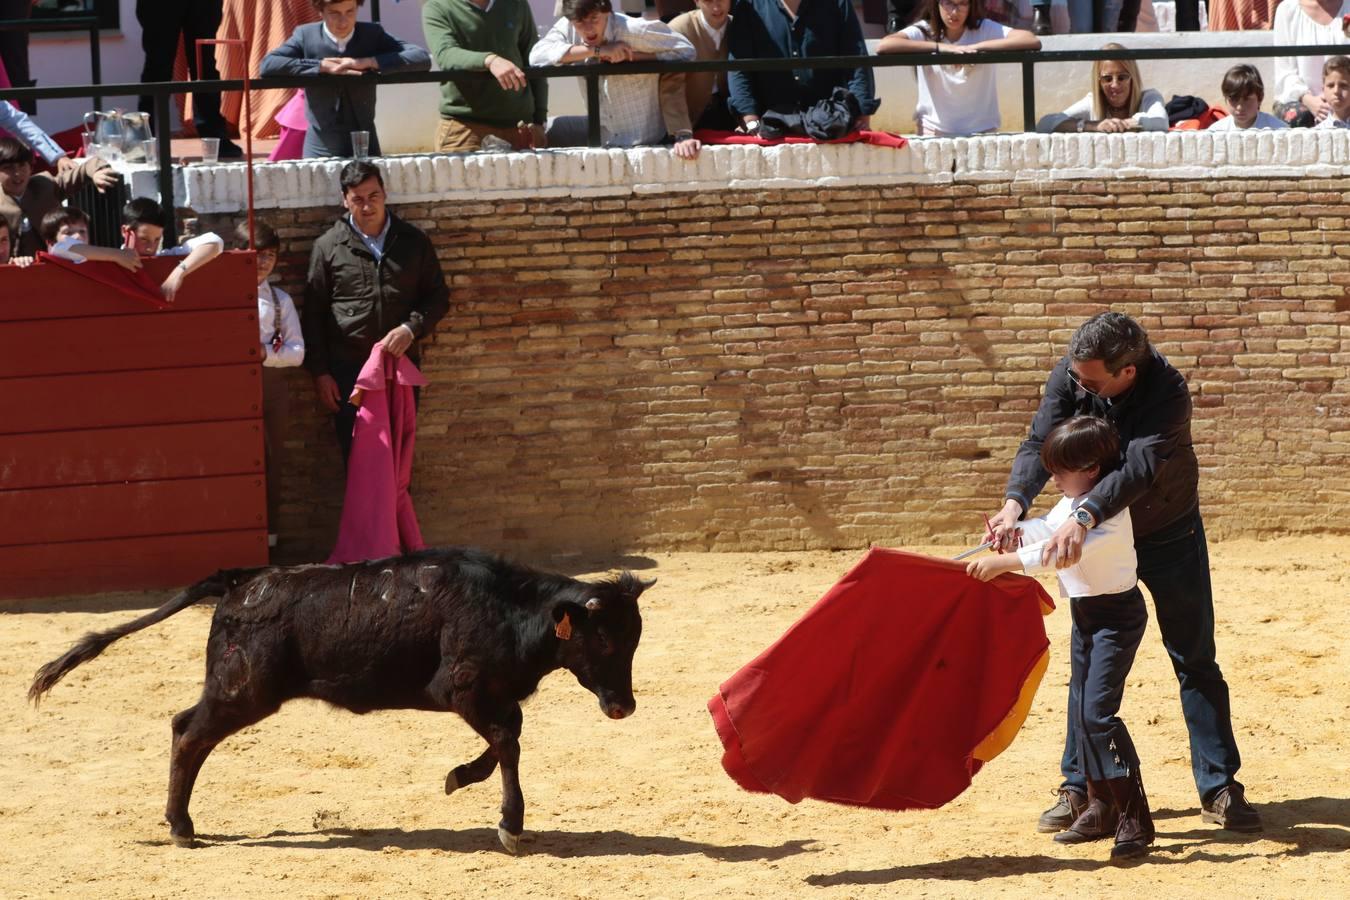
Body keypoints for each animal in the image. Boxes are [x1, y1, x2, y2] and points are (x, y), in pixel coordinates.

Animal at [26, 545, 648, 858]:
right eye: (604, 640)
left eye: (634, 639)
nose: (623, 707)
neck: (508, 608)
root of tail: (240, 582)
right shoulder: (461, 689)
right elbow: (508, 739)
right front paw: (507, 824)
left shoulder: (490, 696)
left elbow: (507, 738)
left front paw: (461, 780)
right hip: (243, 691)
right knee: (188, 732)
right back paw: (181, 827)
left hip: (237, 691)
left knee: (190, 733)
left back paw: (181, 823)